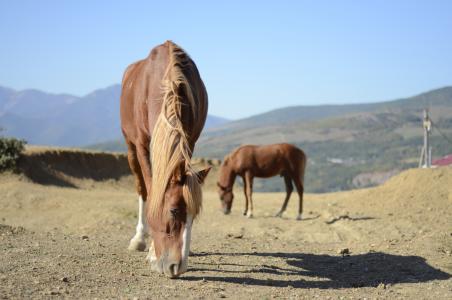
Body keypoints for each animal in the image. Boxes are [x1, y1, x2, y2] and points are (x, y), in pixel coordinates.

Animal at [121, 41, 211, 278]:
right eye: (173, 210)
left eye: (194, 216)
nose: (177, 267)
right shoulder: (142, 146)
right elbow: (151, 190)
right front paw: (152, 252)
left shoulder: (189, 142)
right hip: (130, 147)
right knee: (141, 188)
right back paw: (139, 238)